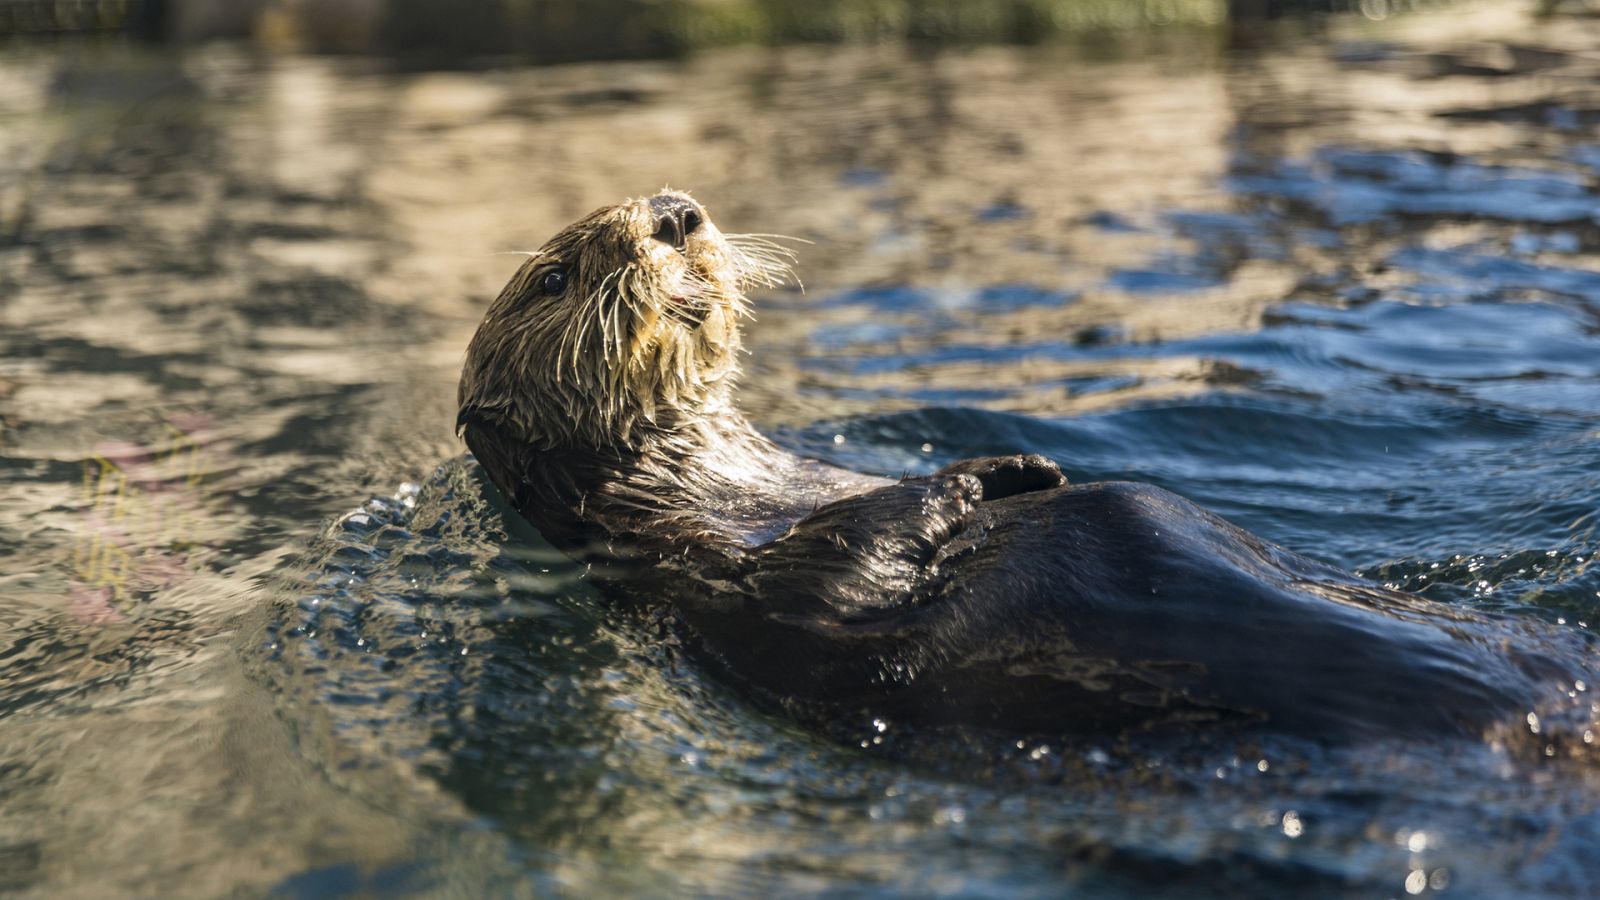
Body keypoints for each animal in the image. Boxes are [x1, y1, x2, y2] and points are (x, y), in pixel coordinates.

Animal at [457, 188, 1593, 743]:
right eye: (556, 277)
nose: (676, 211)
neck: (741, 483)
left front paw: (1023, 464)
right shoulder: (698, 574)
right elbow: (831, 590)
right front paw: (967, 482)